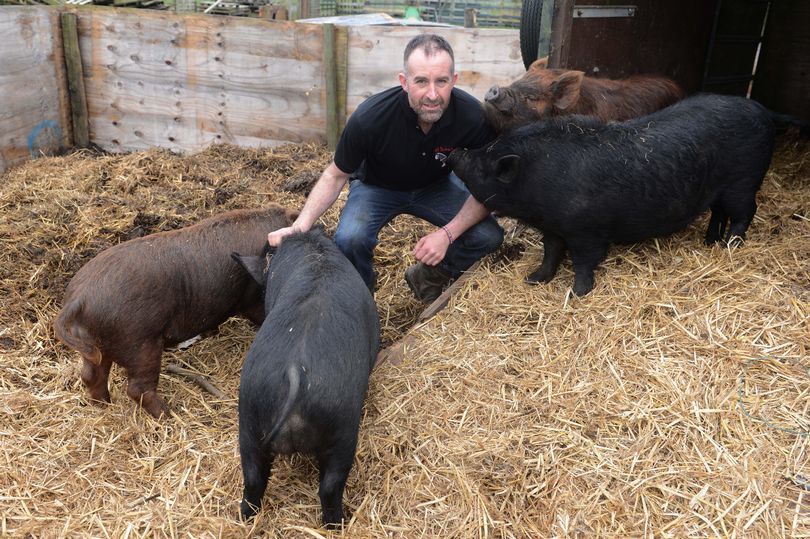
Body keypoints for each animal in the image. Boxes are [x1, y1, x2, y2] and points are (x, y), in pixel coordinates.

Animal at [52, 205, 296, 420]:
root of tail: (79, 298)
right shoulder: (253, 296)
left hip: (95, 346)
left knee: (91, 375)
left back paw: (104, 405)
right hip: (141, 342)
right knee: (137, 388)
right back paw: (168, 415)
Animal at [229, 228, 378, 528]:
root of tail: (294, 371)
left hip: (248, 417)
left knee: (252, 478)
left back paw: (245, 519)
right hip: (342, 426)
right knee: (330, 485)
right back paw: (338, 524)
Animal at [446, 93, 772, 296]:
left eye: (482, 165)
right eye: (483, 149)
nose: (453, 154)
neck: (535, 179)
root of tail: (762, 111)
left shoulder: (586, 230)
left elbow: (583, 261)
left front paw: (575, 293)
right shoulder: (553, 226)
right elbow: (550, 252)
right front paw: (533, 280)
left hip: (743, 181)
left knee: (745, 212)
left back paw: (731, 245)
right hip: (720, 190)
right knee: (719, 212)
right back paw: (710, 241)